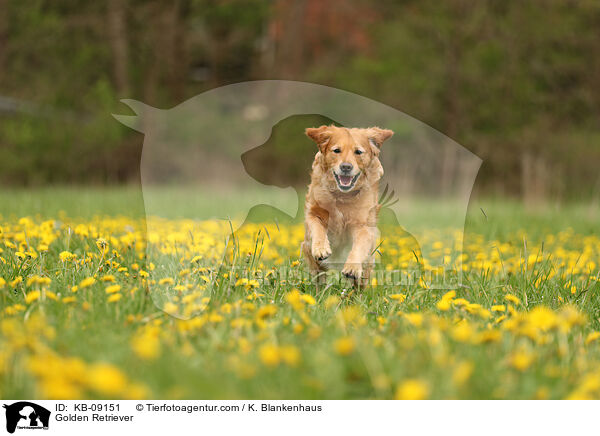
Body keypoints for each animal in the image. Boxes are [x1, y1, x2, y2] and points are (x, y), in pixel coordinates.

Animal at [300, 125, 394, 286]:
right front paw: (321, 248)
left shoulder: (363, 225)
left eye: (358, 152)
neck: (342, 196)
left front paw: (352, 267)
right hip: (312, 260)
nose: (346, 167)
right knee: (319, 279)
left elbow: (359, 245)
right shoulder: (313, 212)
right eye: (337, 150)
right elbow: (317, 226)